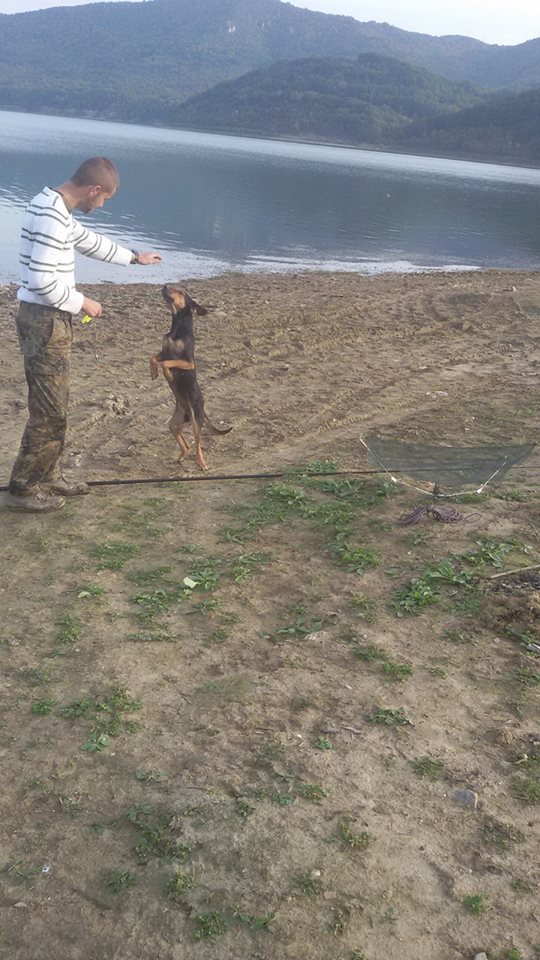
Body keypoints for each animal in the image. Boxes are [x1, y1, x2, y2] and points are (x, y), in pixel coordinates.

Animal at [151, 283, 232, 471]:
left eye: (180, 291)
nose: (164, 285)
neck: (177, 327)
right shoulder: (164, 352)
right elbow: (153, 358)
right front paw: (153, 373)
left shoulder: (188, 362)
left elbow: (167, 364)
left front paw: (168, 375)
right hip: (174, 424)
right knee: (186, 444)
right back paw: (182, 456)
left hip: (196, 422)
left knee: (198, 444)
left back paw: (201, 462)